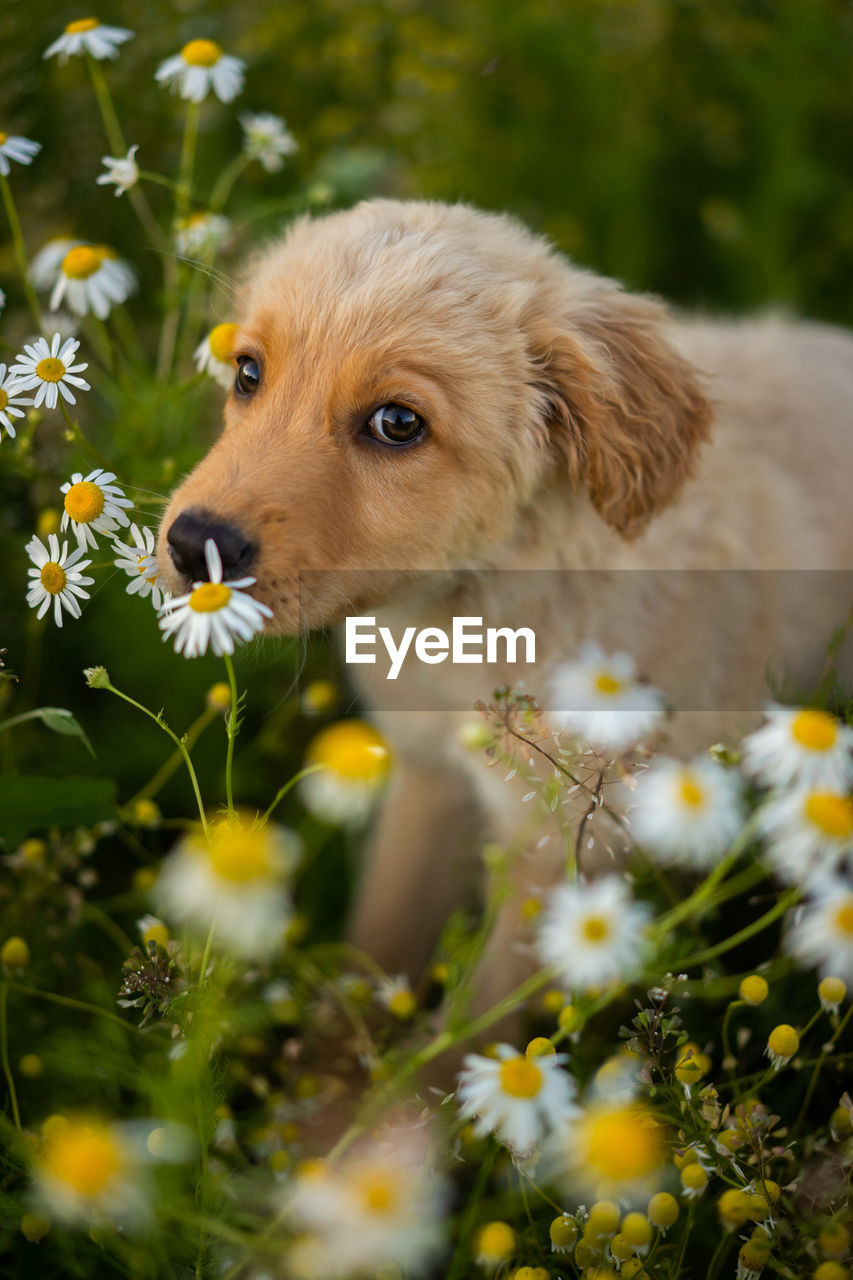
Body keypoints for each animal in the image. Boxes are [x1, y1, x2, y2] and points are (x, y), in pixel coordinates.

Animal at [157, 199, 850, 1013]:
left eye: (398, 424)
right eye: (248, 373)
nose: (192, 544)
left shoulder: (563, 843)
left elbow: (482, 1020)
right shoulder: (427, 776)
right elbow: (381, 932)